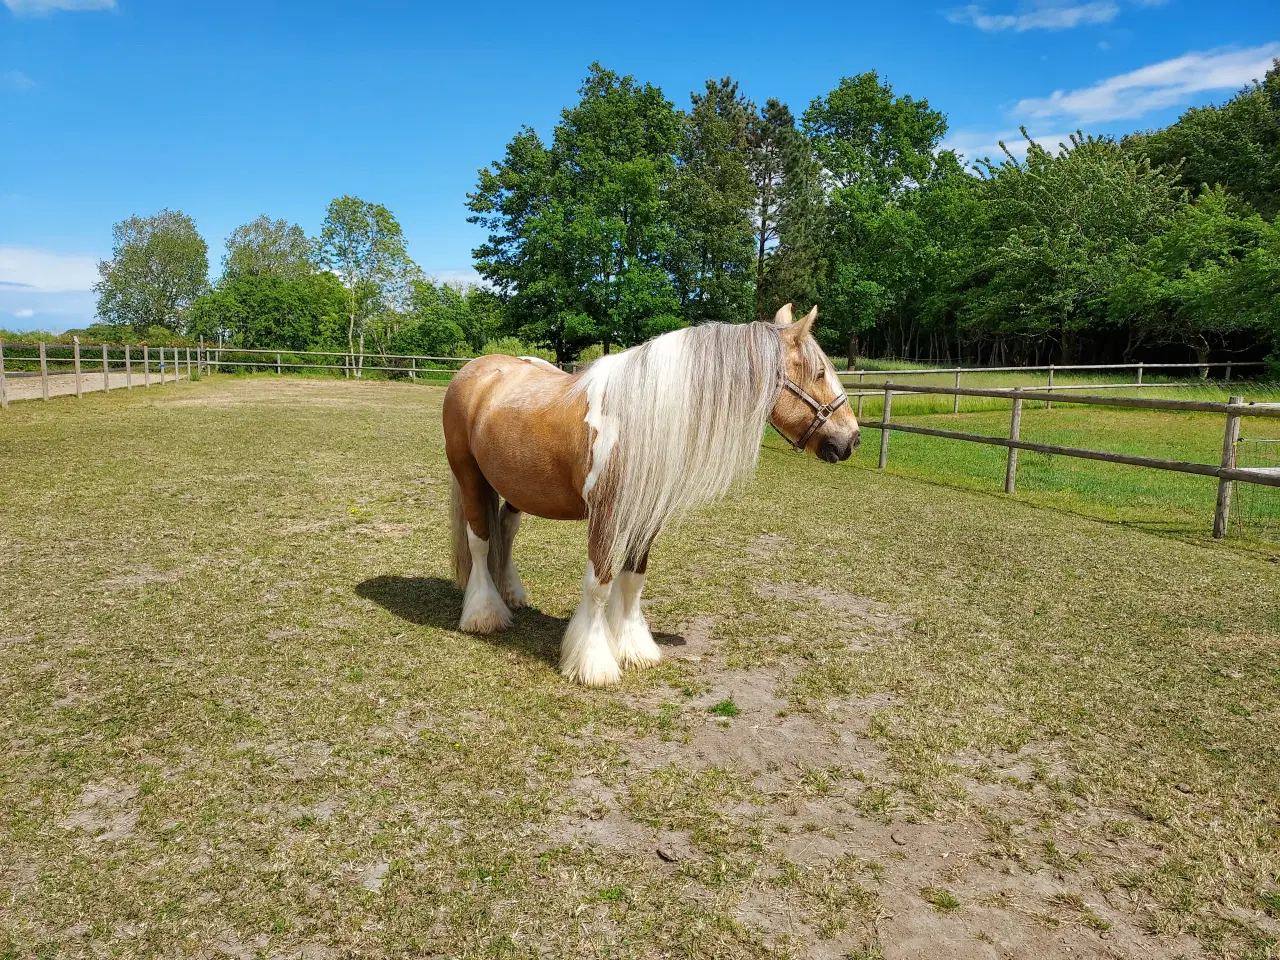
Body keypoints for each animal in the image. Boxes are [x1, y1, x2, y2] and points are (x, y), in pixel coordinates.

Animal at [440, 304, 860, 686]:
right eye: (819, 372)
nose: (852, 439)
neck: (637, 418)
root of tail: (476, 370)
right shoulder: (606, 515)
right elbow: (598, 585)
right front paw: (594, 663)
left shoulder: (647, 517)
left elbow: (632, 581)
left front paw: (633, 648)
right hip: (470, 477)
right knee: (480, 543)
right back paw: (484, 615)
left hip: (516, 488)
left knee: (506, 532)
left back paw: (511, 593)